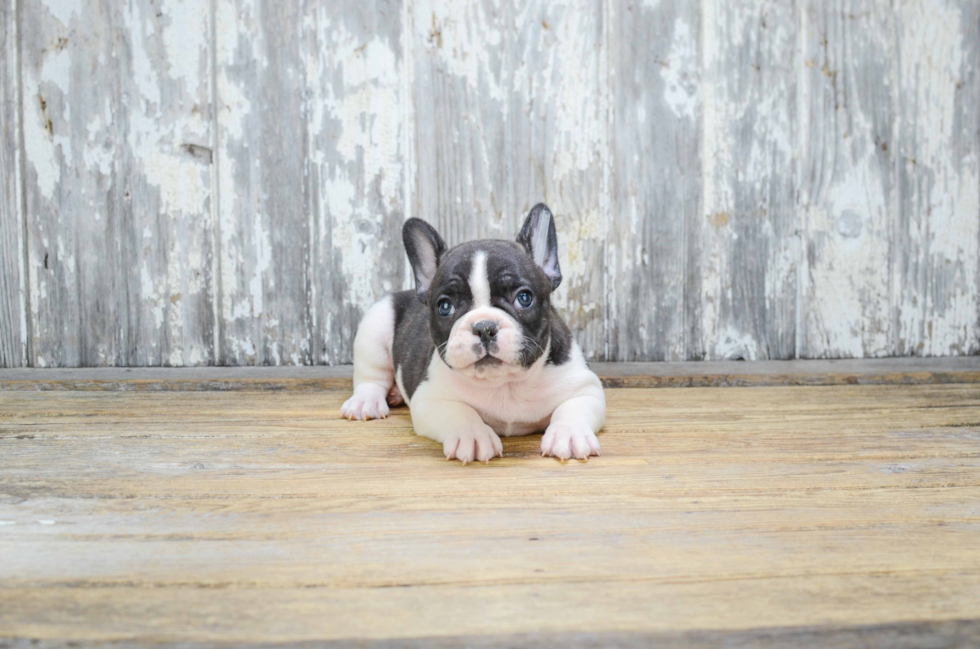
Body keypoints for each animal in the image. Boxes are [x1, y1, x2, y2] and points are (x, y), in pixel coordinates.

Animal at [342, 202, 604, 460]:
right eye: (445, 306)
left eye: (524, 298)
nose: (484, 327)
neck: (504, 384)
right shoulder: (430, 397)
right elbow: (459, 412)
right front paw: (473, 436)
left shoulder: (585, 388)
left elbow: (572, 408)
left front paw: (569, 435)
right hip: (375, 327)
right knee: (371, 377)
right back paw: (365, 402)